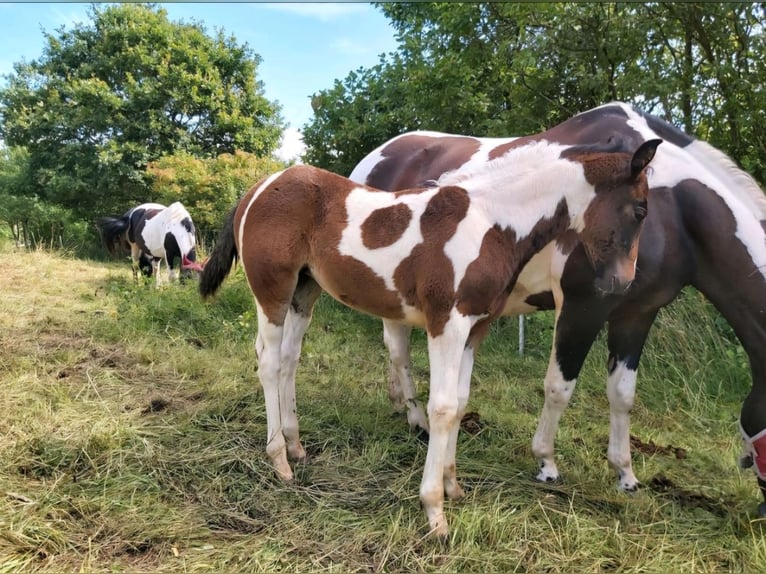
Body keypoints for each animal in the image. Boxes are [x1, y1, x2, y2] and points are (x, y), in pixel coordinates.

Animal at [198, 138, 660, 540]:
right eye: (640, 209)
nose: (622, 284)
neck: (491, 222)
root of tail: (257, 189)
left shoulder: (476, 327)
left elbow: (460, 403)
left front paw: (453, 487)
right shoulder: (447, 323)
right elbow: (441, 408)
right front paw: (434, 510)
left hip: (304, 291)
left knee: (289, 360)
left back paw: (296, 447)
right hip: (272, 289)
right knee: (268, 361)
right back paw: (279, 460)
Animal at [352, 101, 766, 520]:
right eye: (639, 211)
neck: (674, 213)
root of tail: (374, 158)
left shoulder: (637, 313)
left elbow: (622, 393)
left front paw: (625, 474)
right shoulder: (583, 305)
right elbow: (559, 387)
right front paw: (546, 462)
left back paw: (399, 403)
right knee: (400, 352)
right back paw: (417, 420)